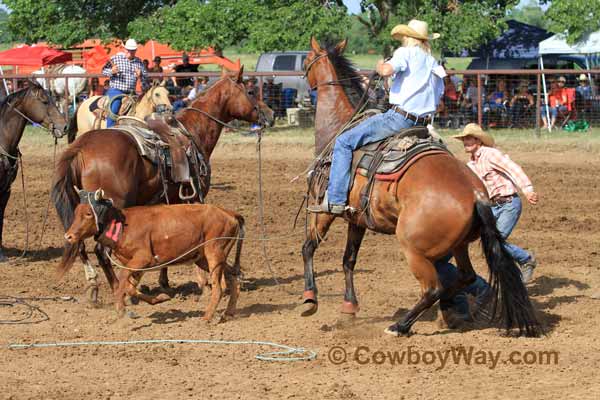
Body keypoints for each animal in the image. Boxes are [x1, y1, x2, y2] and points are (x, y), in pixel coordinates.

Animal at [52, 67, 274, 302]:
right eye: (250, 91)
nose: (270, 114)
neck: (193, 131)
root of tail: (82, 147)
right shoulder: (195, 197)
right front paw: (204, 284)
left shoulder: (169, 201)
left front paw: (165, 281)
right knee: (101, 250)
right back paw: (122, 291)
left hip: (82, 209)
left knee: (80, 244)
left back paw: (96, 287)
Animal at [300, 38, 540, 338]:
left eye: (306, 59)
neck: (340, 125)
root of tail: (476, 195)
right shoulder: (357, 218)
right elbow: (348, 260)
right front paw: (349, 307)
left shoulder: (325, 209)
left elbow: (309, 247)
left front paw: (310, 299)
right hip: (458, 244)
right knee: (466, 276)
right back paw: (450, 309)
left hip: (412, 248)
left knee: (432, 289)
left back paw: (400, 325)